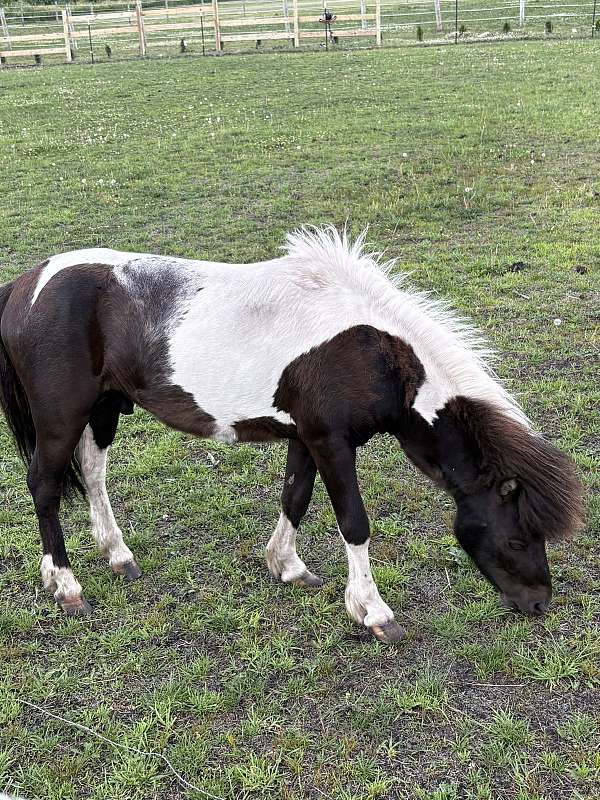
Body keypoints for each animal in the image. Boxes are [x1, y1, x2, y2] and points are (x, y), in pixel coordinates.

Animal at [0, 228, 583, 642]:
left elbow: (295, 497)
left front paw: (288, 566)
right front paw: (372, 612)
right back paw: (66, 585)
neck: (374, 353)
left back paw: (117, 556)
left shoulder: (306, 438)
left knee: (93, 474)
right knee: (45, 486)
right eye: (517, 538)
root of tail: (26, 286)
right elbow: (354, 523)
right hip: (61, 417)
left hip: (104, 409)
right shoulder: (332, 443)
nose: (539, 604)